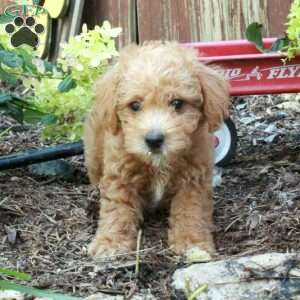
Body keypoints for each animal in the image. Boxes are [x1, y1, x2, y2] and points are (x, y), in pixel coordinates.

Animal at [84, 41, 230, 258]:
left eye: (177, 103)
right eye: (135, 105)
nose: (154, 140)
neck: (158, 163)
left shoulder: (193, 180)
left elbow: (190, 210)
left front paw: (192, 242)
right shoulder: (120, 176)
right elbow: (117, 210)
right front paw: (110, 243)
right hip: (94, 154)